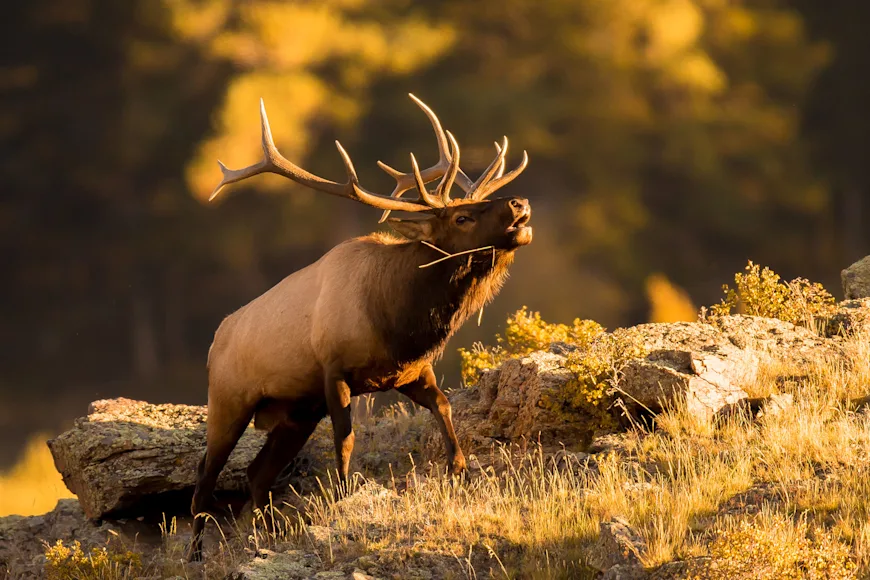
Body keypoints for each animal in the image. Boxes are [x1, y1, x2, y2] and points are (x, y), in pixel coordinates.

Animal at [187, 94, 532, 561]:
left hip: (296, 410)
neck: (396, 319)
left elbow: (444, 407)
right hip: (229, 400)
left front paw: (460, 472)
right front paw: (345, 495)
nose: (518, 203)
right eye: (462, 217)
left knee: (258, 474)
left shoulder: (410, 371)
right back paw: (196, 555)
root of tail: (213, 343)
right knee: (204, 482)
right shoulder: (335, 371)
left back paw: (268, 536)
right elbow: (347, 439)